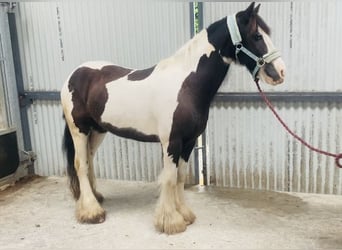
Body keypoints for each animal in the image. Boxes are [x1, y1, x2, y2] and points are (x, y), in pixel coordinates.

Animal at [61, 1, 286, 233]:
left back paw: (96, 198)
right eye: (257, 36)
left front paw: (185, 214)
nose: (280, 72)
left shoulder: (189, 142)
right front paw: (170, 221)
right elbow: (169, 178)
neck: (186, 84)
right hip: (79, 130)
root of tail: (74, 74)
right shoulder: (171, 142)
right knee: (80, 164)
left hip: (98, 130)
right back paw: (92, 212)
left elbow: (180, 177)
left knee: (89, 159)